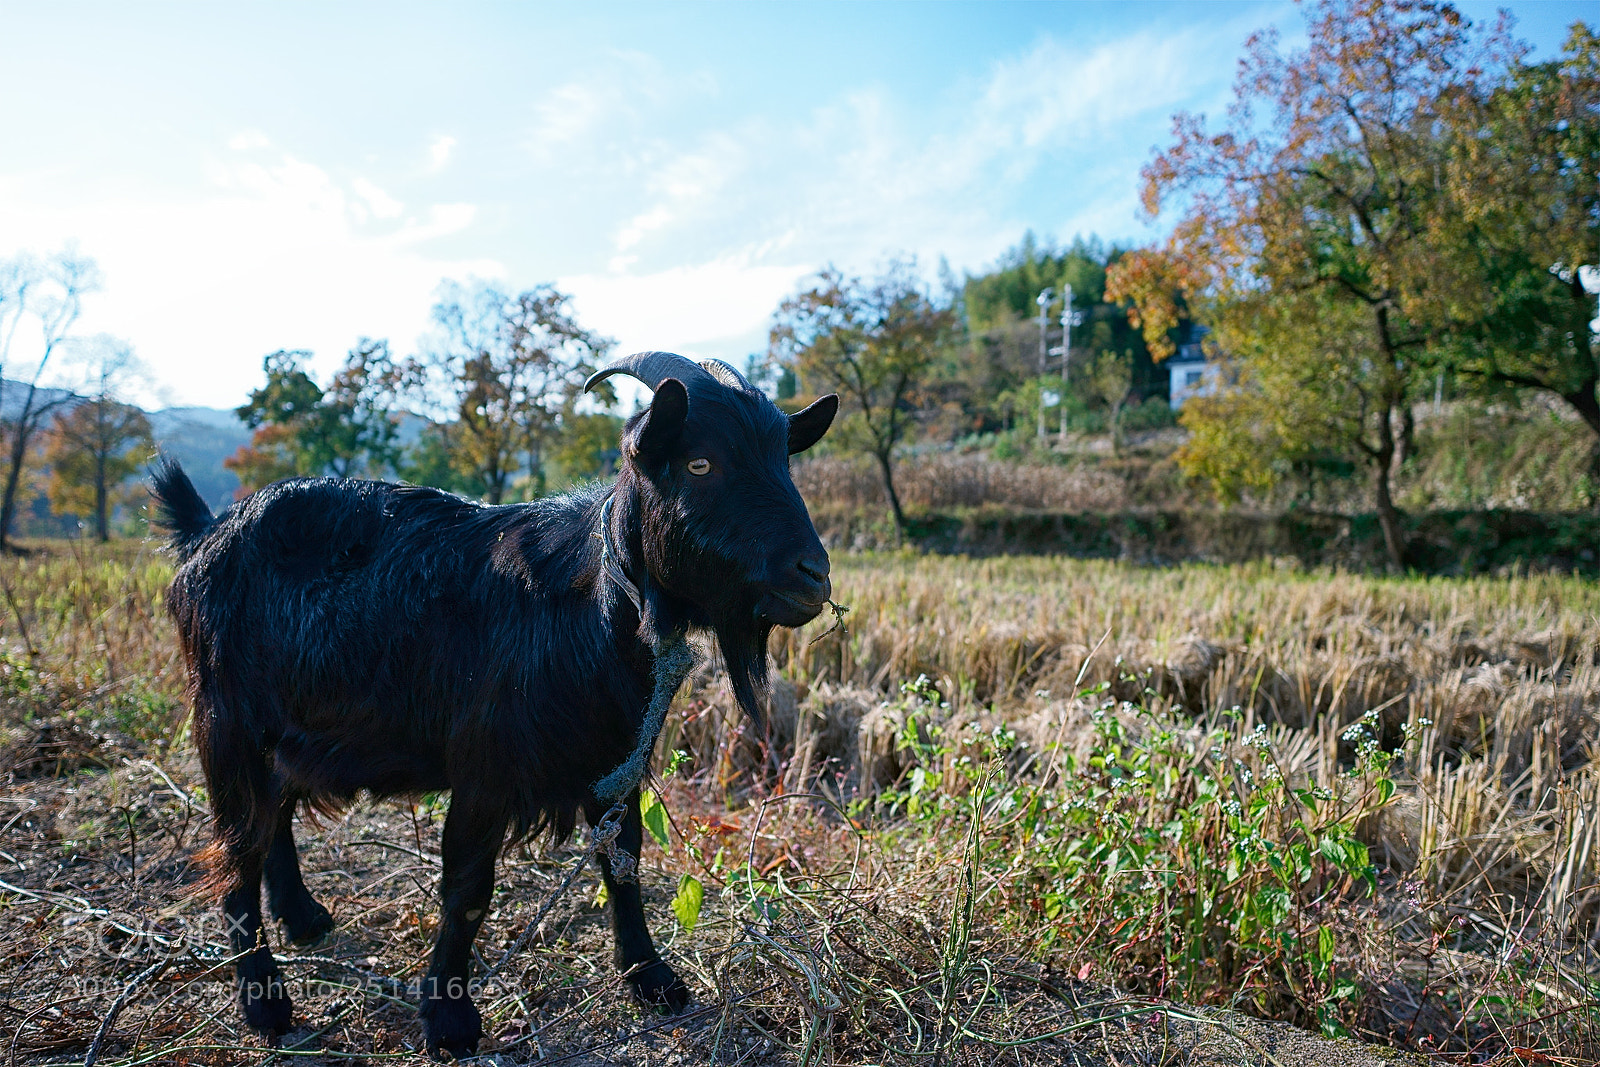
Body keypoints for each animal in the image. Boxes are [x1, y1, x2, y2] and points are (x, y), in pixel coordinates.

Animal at [150, 351, 838, 1057]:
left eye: (784, 461)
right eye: (701, 464)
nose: (813, 574)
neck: (592, 602)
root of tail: (205, 531)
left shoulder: (614, 764)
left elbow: (622, 866)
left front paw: (653, 978)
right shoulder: (484, 768)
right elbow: (468, 889)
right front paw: (448, 1019)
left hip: (295, 729)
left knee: (275, 817)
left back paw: (304, 917)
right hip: (226, 723)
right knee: (237, 851)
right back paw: (265, 1003)